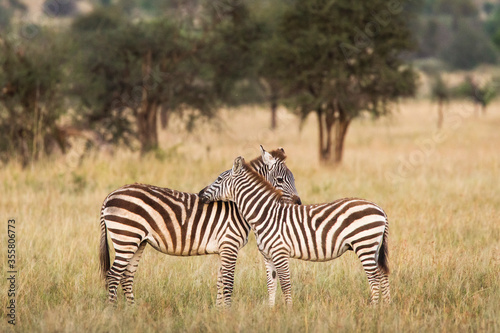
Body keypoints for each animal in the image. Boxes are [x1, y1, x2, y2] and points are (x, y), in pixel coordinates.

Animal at [99, 146, 298, 306]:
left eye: (293, 178)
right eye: (280, 180)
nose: (298, 202)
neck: (236, 206)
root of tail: (110, 195)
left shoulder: (223, 249)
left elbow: (220, 282)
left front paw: (219, 312)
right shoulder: (229, 245)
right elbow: (228, 283)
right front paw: (228, 314)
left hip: (137, 241)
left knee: (126, 276)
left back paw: (131, 310)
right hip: (127, 236)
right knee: (113, 275)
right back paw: (112, 313)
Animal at [199, 154, 390, 304]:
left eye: (218, 179)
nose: (200, 194)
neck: (265, 214)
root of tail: (380, 209)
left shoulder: (280, 252)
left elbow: (285, 285)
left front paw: (288, 312)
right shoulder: (267, 256)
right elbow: (271, 285)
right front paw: (271, 313)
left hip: (364, 244)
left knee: (374, 279)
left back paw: (373, 310)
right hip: (373, 247)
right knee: (383, 275)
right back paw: (385, 308)